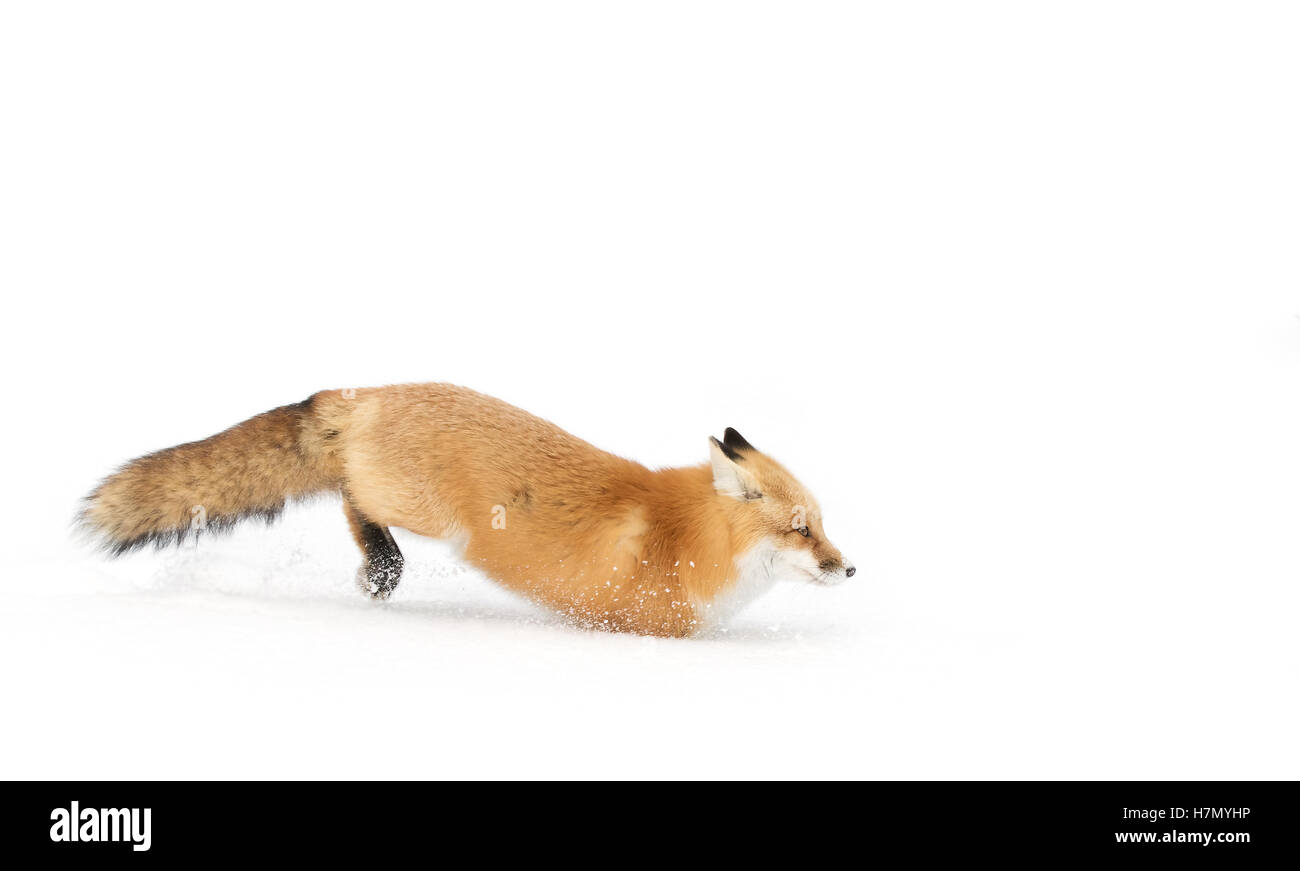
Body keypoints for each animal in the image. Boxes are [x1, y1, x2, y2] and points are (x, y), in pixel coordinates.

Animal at [80, 383, 854, 636]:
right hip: (420, 509)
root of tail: (363, 391)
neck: (688, 537)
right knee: (350, 493)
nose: (849, 570)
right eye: (801, 530)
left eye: (823, 526)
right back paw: (381, 567)